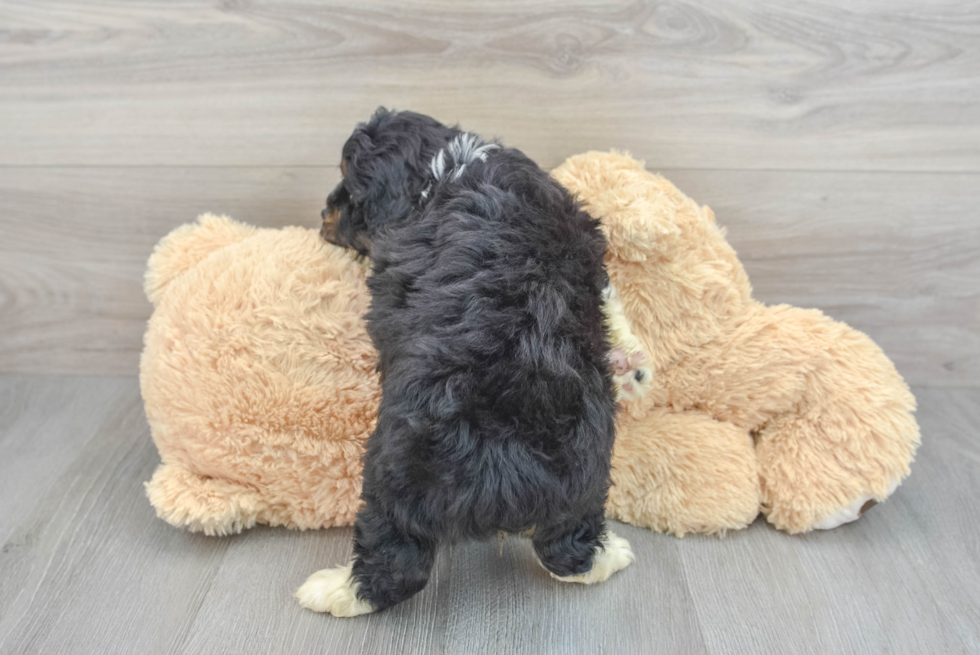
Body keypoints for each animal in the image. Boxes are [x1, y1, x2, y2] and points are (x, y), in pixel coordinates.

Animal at [294, 110, 644, 616]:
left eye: (350, 190)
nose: (325, 212)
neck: (444, 164)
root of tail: (504, 461)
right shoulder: (584, 243)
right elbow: (609, 295)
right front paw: (630, 360)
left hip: (391, 473)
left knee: (394, 564)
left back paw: (331, 592)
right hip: (586, 472)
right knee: (568, 549)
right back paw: (610, 556)